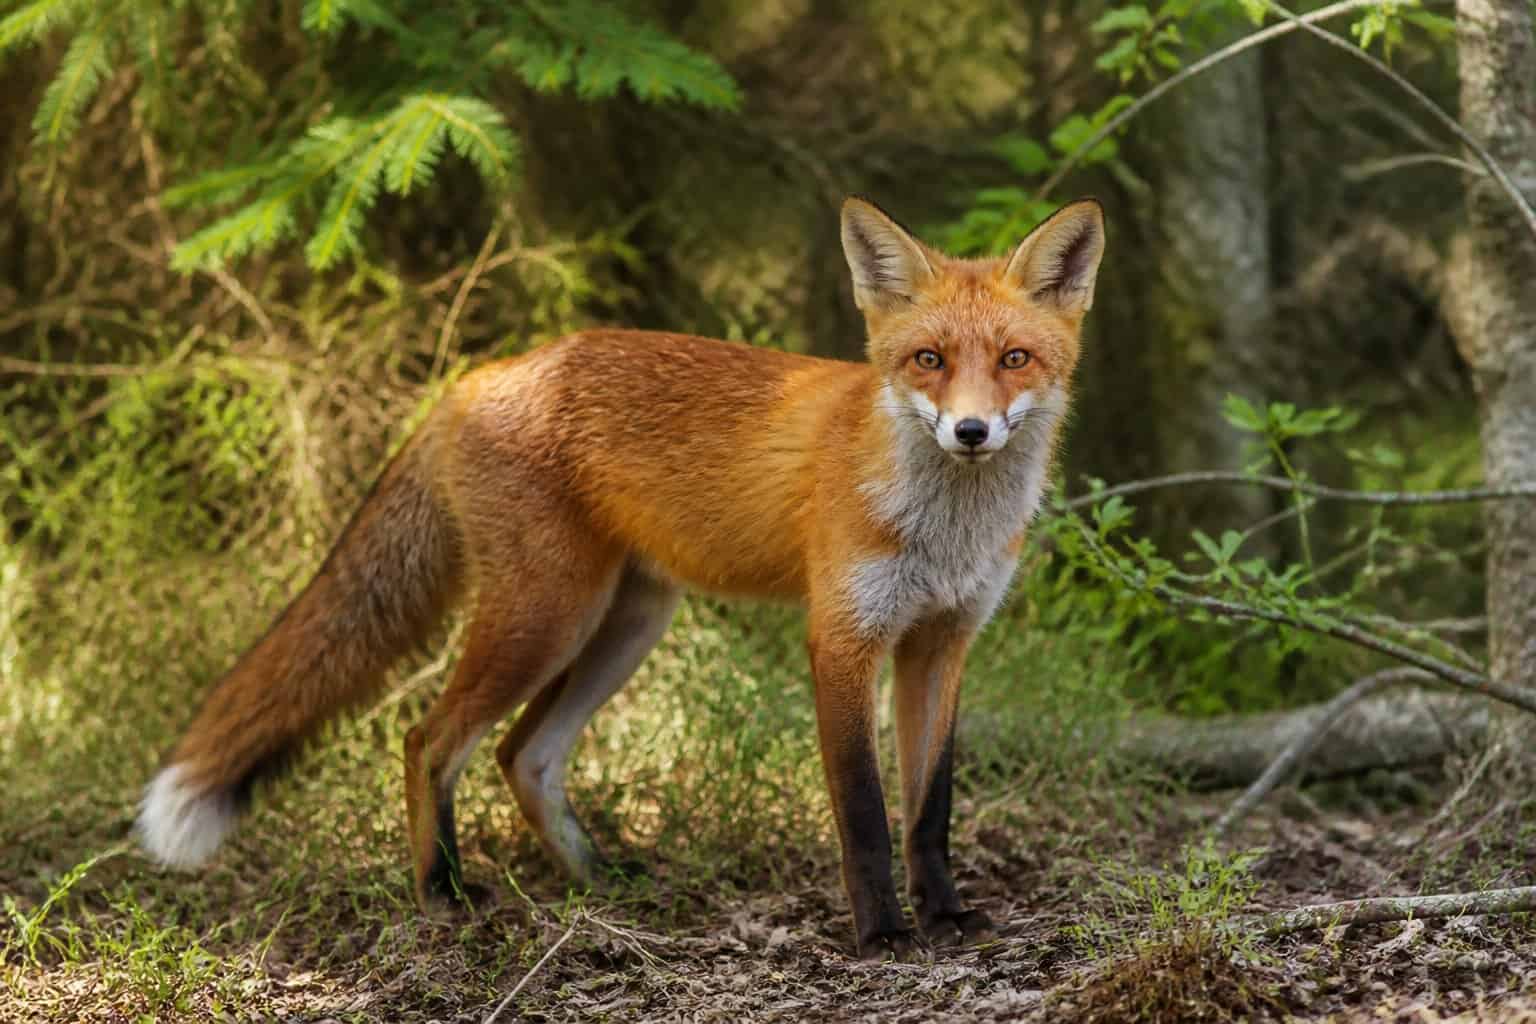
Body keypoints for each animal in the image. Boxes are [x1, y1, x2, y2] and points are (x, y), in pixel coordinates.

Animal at [136, 196, 1105, 959]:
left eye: (1014, 359)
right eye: (928, 361)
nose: (972, 432)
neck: (947, 530)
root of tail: (476, 376)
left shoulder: (941, 642)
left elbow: (930, 807)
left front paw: (945, 916)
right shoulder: (842, 639)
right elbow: (866, 813)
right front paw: (883, 935)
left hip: (625, 626)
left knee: (522, 754)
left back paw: (602, 883)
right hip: (545, 617)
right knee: (428, 741)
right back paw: (443, 894)